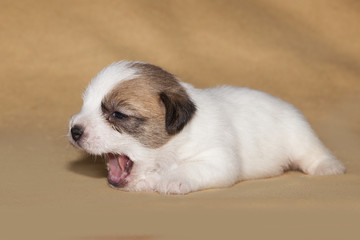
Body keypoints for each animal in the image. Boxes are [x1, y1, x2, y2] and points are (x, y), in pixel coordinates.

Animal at [68, 61, 346, 194]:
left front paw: (173, 180)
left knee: (314, 153)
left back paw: (329, 167)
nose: (74, 130)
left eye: (118, 114)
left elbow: (191, 168)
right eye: (84, 104)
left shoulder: (217, 159)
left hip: (300, 137)